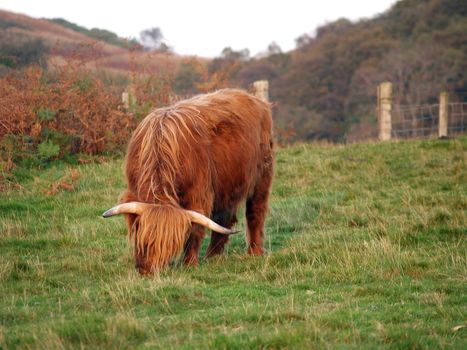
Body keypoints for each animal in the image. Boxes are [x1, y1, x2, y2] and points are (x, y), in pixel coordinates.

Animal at [100, 89, 272, 274]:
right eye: (144, 241)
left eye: (168, 246)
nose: (148, 271)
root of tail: (253, 99)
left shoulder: (198, 195)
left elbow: (196, 229)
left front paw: (189, 262)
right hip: (227, 186)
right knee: (224, 218)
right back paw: (212, 256)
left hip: (262, 177)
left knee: (255, 212)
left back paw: (254, 252)